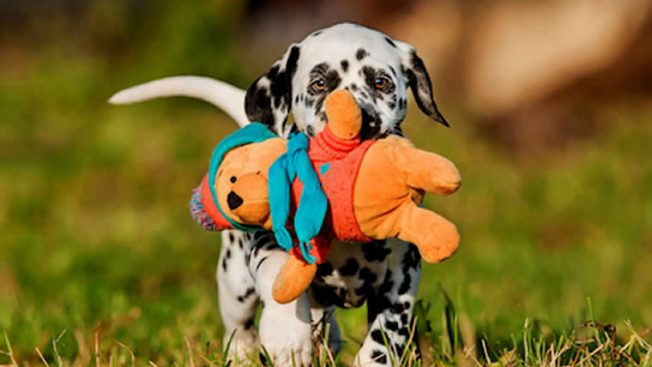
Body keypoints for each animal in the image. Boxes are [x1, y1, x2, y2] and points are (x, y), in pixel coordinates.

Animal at [109, 23, 450, 367]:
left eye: (381, 82)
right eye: (319, 84)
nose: (361, 123)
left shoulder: (402, 276)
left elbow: (385, 334)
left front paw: (372, 358)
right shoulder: (269, 243)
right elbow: (278, 278)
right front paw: (286, 336)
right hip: (235, 284)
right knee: (239, 327)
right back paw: (244, 354)